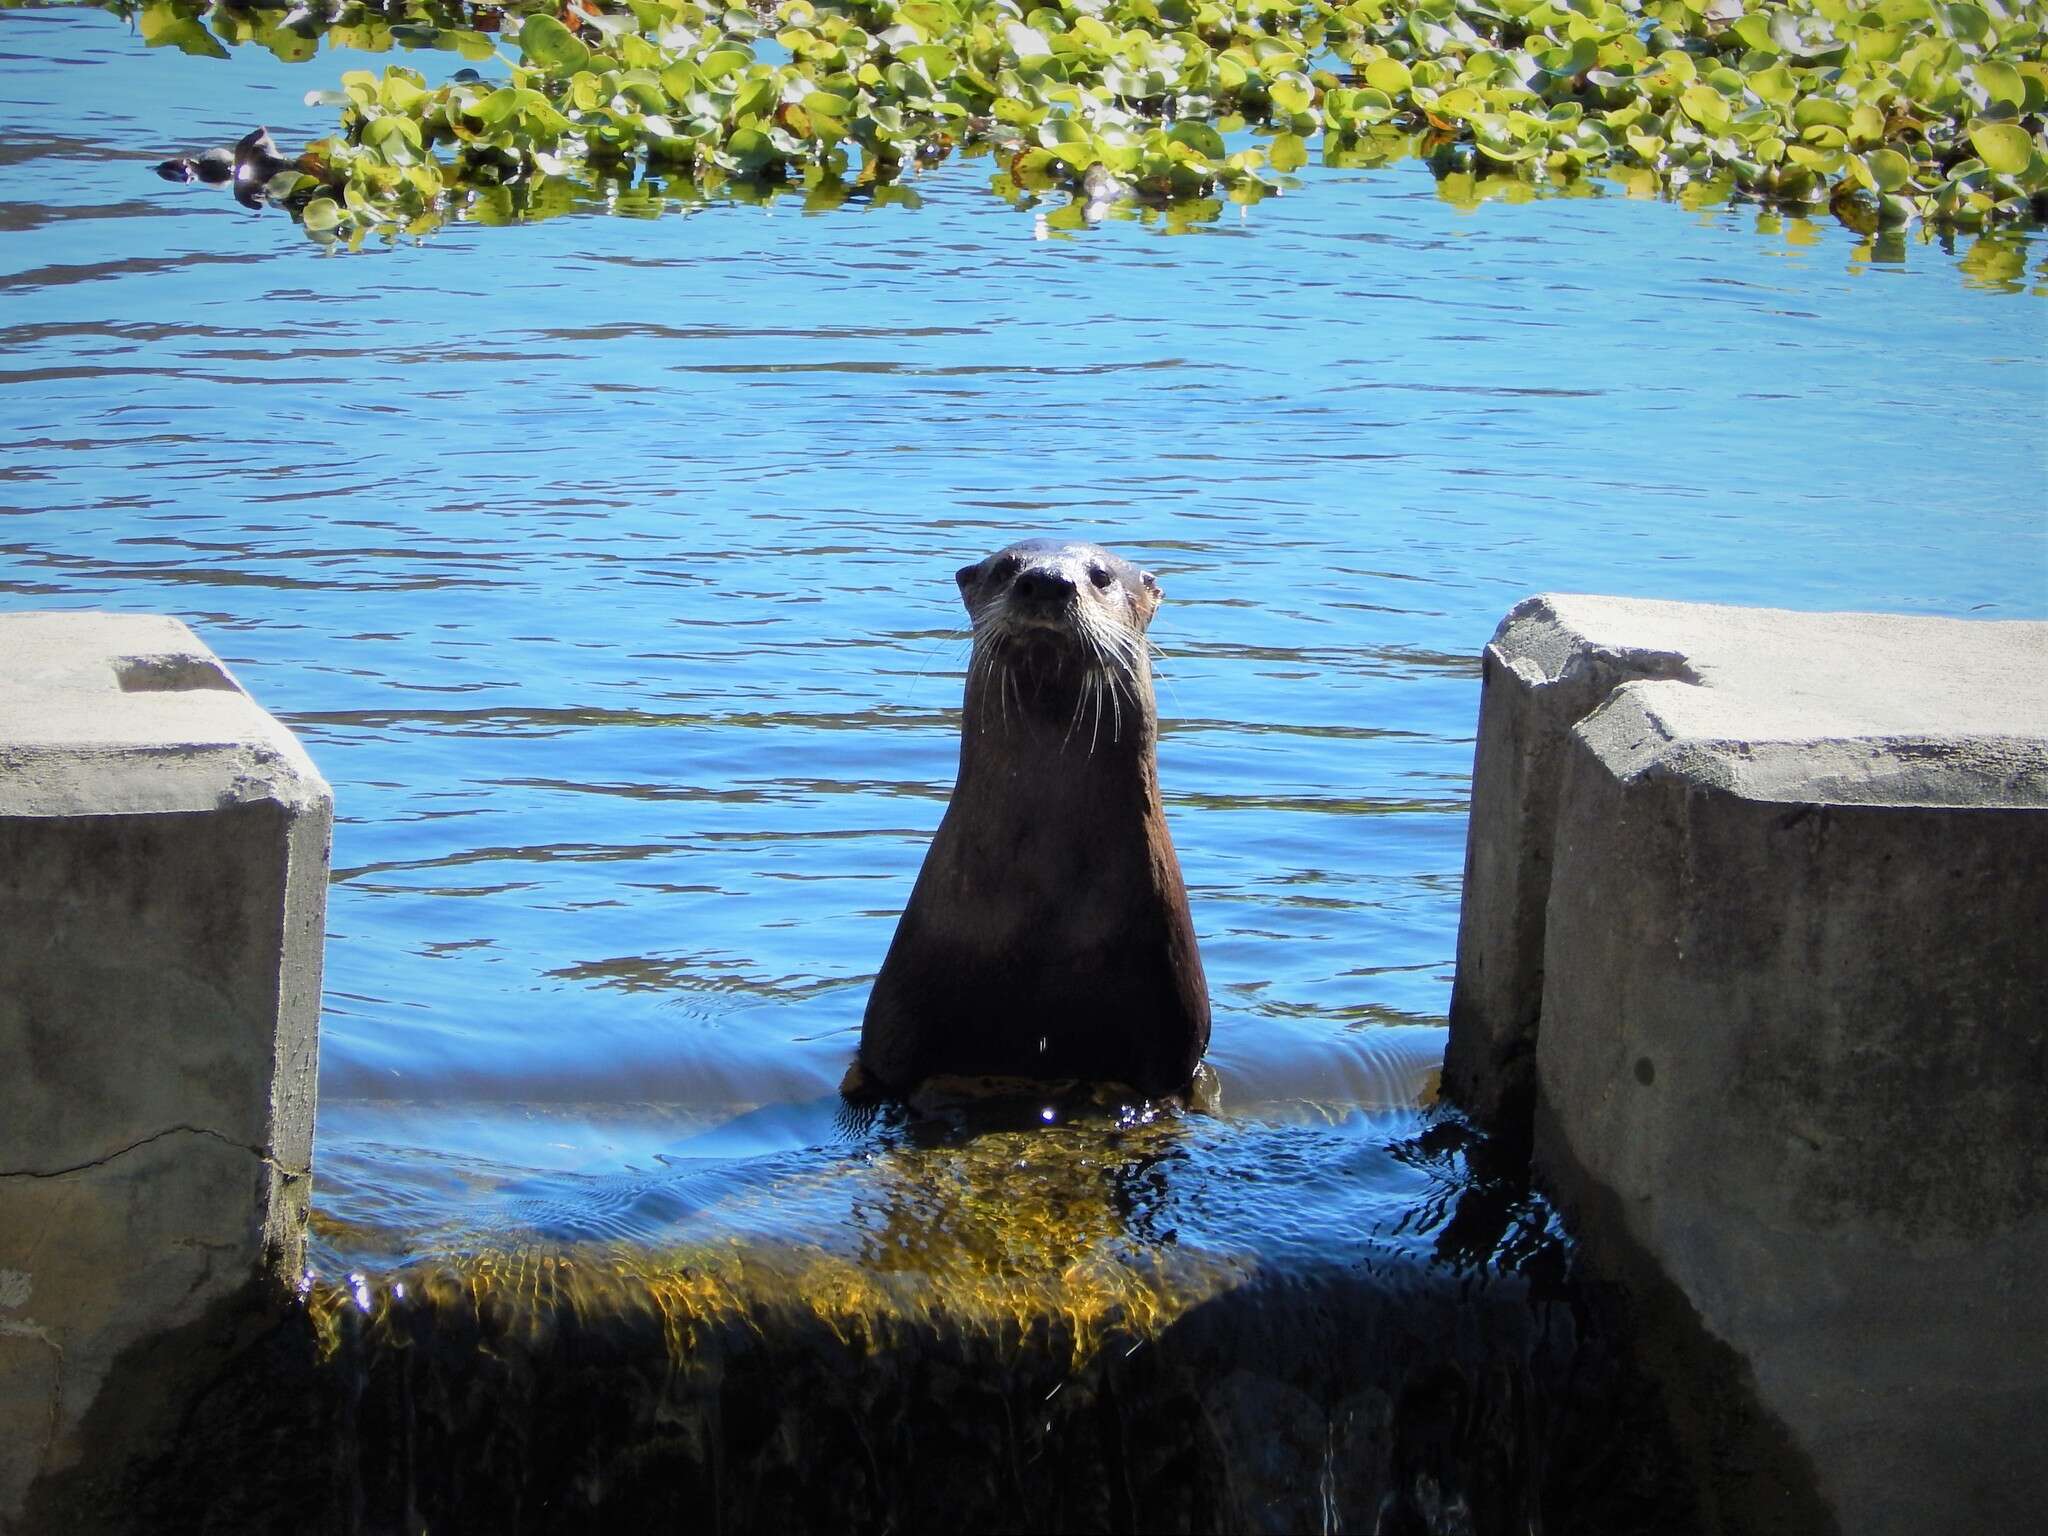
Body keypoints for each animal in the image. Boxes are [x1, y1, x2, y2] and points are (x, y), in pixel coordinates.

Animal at [856, 536, 1204, 1097]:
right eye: (1005, 568)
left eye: (1101, 576)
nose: (1045, 582)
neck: (1043, 911)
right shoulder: (894, 1029)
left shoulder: (1172, 1033)